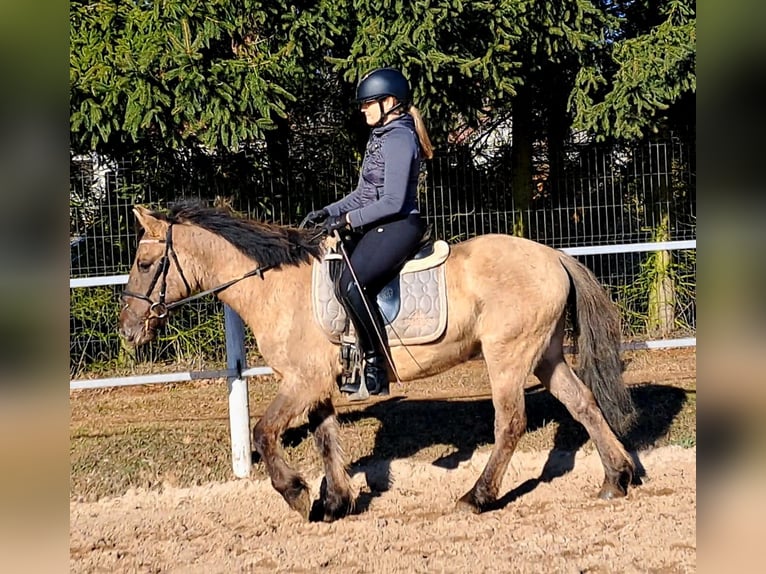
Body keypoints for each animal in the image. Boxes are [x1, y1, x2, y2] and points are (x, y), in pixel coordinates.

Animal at [119, 202, 637, 522]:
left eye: (145, 264)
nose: (127, 331)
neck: (276, 289)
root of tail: (554, 256)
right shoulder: (318, 383)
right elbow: (327, 439)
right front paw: (334, 502)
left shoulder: (302, 381)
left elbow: (264, 433)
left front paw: (297, 494)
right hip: (544, 354)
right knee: (584, 405)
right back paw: (616, 479)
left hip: (507, 355)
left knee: (510, 422)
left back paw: (476, 497)